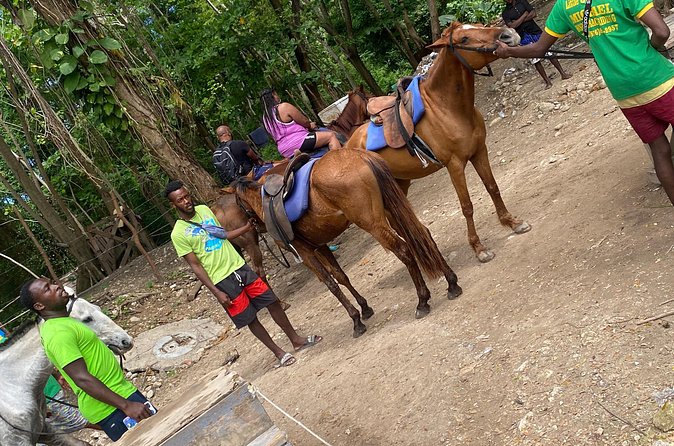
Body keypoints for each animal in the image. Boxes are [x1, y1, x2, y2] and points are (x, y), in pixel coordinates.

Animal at [232, 149, 462, 337]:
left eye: (239, 204)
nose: (252, 226)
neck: (264, 200)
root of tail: (362, 156)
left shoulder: (305, 251)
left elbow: (331, 284)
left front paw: (355, 320)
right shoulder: (320, 245)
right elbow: (341, 276)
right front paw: (364, 308)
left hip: (373, 223)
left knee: (405, 250)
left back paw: (422, 301)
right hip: (392, 211)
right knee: (423, 234)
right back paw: (451, 283)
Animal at [345, 22, 531, 263]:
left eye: (480, 25)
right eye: (464, 39)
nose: (509, 35)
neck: (447, 108)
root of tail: (346, 147)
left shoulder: (479, 151)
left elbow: (493, 187)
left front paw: (512, 222)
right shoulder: (455, 165)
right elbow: (467, 206)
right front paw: (479, 248)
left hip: (399, 183)